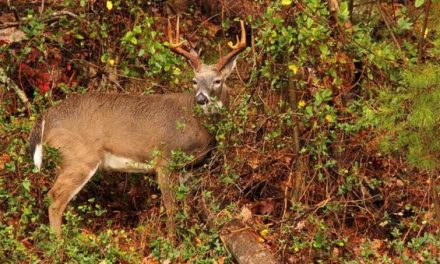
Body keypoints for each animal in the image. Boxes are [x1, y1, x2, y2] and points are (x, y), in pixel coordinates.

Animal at [29, 18, 246, 237]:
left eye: (217, 81)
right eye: (194, 81)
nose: (201, 99)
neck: (195, 123)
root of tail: (47, 115)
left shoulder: (187, 167)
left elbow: (184, 204)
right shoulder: (165, 158)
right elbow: (171, 207)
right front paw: (171, 241)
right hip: (79, 156)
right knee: (55, 198)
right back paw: (59, 242)